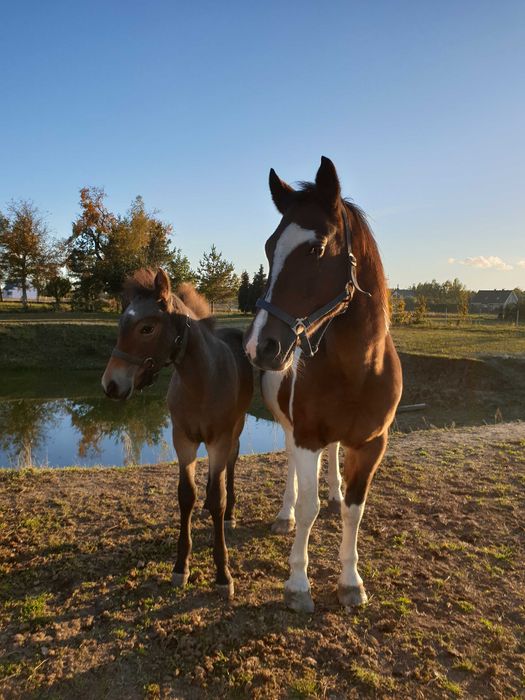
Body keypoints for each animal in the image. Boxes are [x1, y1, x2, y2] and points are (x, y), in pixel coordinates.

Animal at [101, 270, 253, 600]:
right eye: (120, 325)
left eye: (147, 327)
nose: (110, 385)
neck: (201, 381)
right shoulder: (183, 439)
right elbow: (187, 496)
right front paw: (181, 566)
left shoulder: (218, 439)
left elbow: (218, 495)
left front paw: (223, 574)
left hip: (236, 426)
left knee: (231, 463)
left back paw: (230, 513)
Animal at [245, 156, 402, 608]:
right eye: (269, 248)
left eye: (316, 248)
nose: (260, 346)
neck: (359, 367)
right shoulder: (306, 437)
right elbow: (307, 507)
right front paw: (298, 583)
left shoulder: (372, 444)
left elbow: (354, 509)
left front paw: (351, 581)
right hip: (289, 428)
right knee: (292, 477)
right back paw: (284, 515)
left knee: (333, 461)